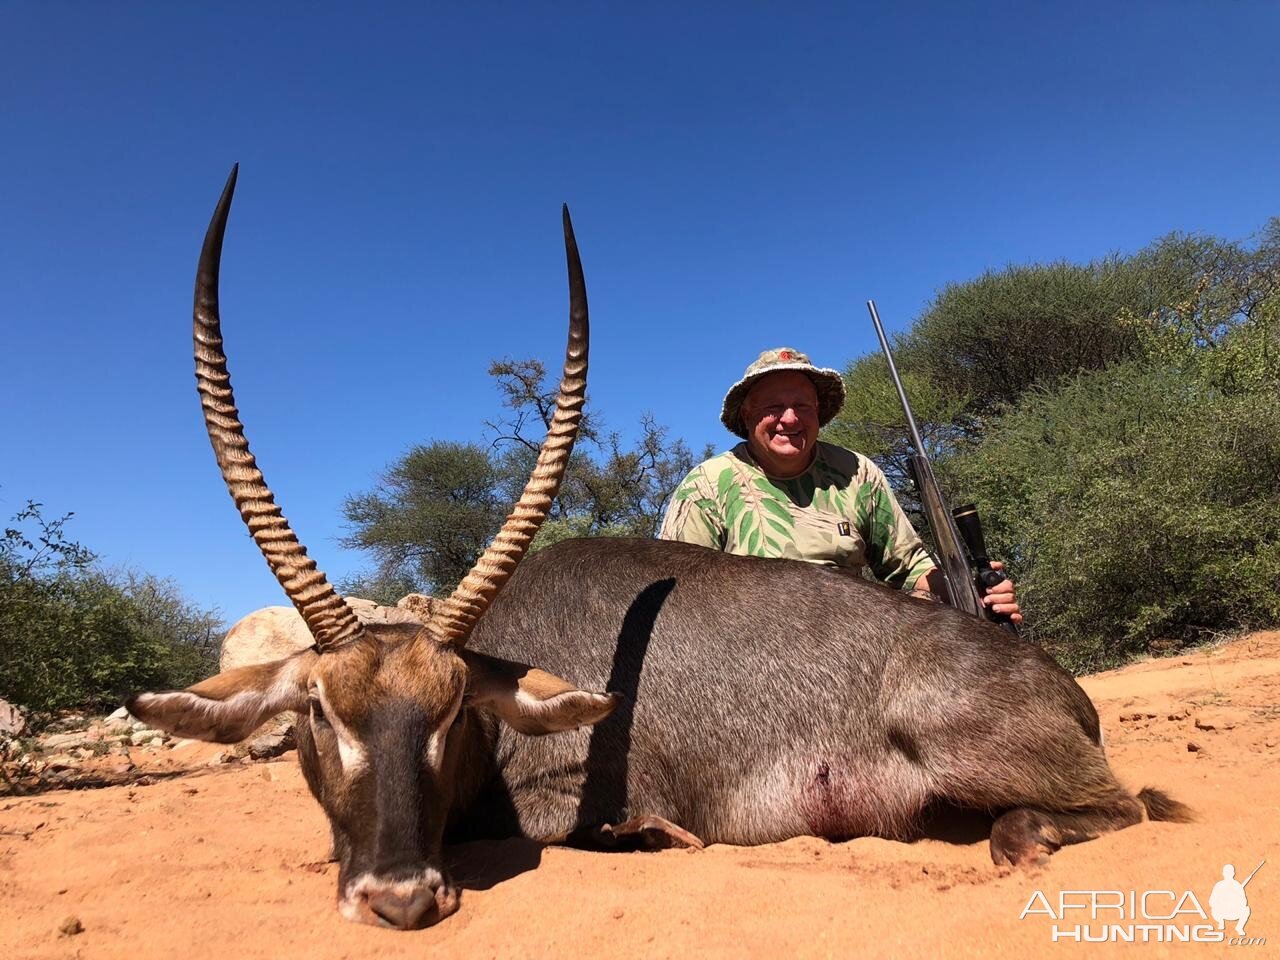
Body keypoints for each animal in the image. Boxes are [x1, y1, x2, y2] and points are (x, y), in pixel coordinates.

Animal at [129, 168, 1187, 926]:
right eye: (316, 711)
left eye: (452, 710)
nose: (398, 897)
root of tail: (1059, 682)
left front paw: (653, 839)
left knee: (1123, 807)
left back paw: (1024, 835)